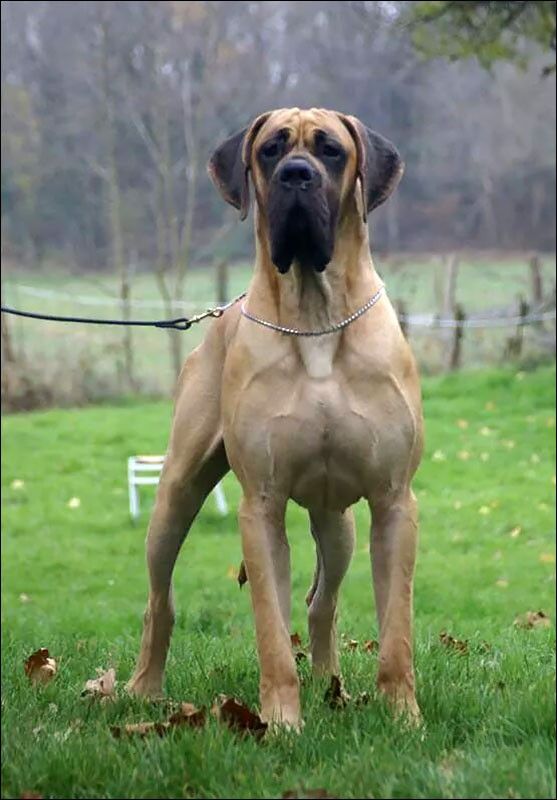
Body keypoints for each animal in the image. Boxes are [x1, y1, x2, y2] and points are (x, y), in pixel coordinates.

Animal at [127, 108, 423, 729]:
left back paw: (333, 686)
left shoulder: (393, 502)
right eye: (270, 149)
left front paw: (403, 715)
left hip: (340, 524)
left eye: (331, 150)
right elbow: (270, 629)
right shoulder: (260, 506)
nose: (295, 175)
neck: (315, 315)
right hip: (174, 495)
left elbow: (396, 630)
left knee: (320, 603)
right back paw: (143, 688)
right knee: (159, 599)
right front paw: (283, 721)